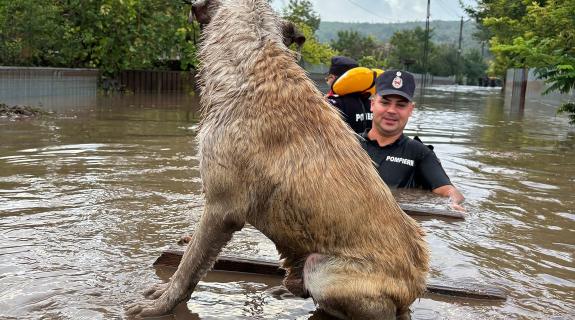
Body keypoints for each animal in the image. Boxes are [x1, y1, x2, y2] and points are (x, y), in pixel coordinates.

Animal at [128, 0, 430, 318]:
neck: (254, 60)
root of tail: (411, 292)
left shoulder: (221, 208)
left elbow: (189, 265)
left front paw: (161, 304)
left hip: (323, 271)